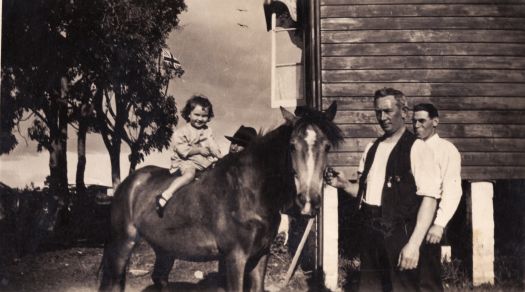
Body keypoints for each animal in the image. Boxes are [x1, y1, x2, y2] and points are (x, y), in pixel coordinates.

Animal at [98, 103, 344, 292]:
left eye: (327, 146)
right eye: (292, 146)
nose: (308, 202)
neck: (249, 191)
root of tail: (128, 184)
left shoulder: (260, 255)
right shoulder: (235, 258)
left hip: (164, 249)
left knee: (159, 278)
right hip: (123, 243)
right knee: (115, 281)